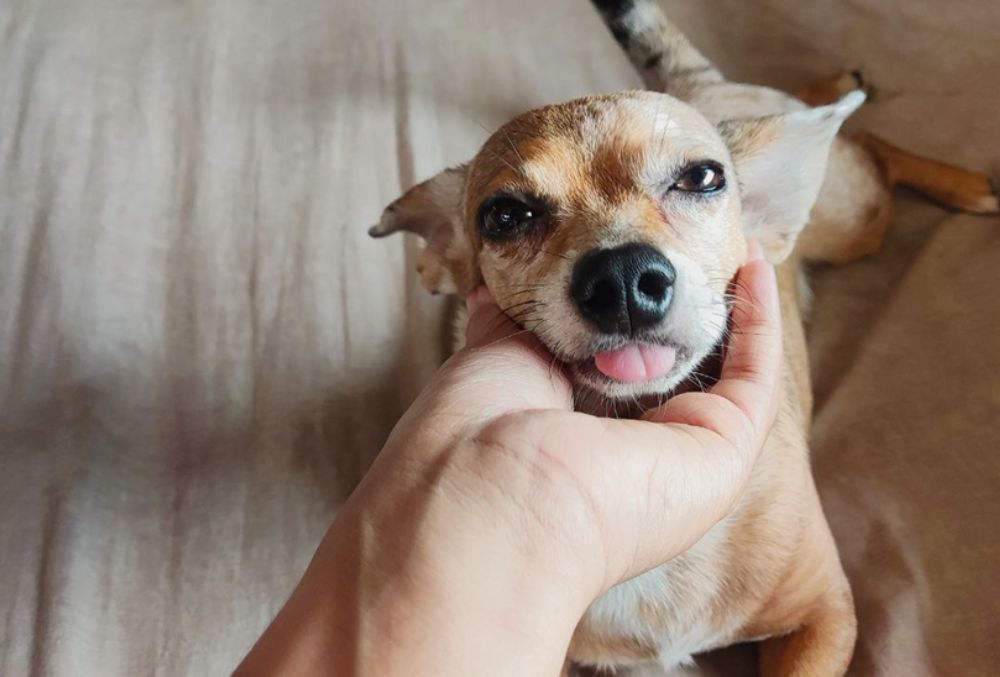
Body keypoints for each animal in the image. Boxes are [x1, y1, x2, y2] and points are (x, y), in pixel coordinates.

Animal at [370, 1, 1000, 672]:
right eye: (505, 216)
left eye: (703, 178)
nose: (621, 277)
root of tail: (705, 90)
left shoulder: (826, 614)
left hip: (856, 220)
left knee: (875, 148)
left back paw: (946, 171)